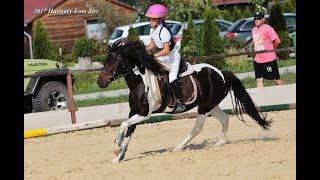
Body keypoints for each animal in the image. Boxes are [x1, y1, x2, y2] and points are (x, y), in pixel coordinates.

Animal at [96, 37, 272, 163]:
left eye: (113, 61)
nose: (99, 82)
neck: (140, 82)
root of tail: (221, 73)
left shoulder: (144, 114)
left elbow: (124, 125)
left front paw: (116, 147)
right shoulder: (135, 112)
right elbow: (128, 132)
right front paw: (119, 156)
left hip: (205, 107)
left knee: (198, 128)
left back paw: (178, 147)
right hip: (210, 105)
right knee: (224, 118)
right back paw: (220, 142)